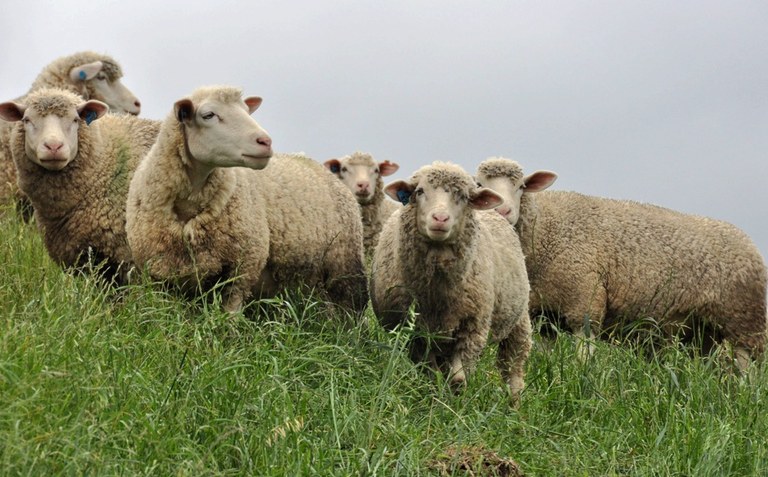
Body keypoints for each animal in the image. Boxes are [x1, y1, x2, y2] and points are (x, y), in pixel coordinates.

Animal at [124, 85, 368, 316]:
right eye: (208, 115)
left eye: (246, 110)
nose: (265, 141)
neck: (189, 205)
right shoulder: (159, 273)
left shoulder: (244, 265)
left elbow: (229, 313)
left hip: (344, 267)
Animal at [372, 162, 536, 396]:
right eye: (419, 191)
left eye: (464, 197)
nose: (440, 219)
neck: (435, 293)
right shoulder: (415, 335)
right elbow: (431, 375)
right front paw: (435, 400)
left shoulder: (473, 329)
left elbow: (458, 379)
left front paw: (455, 400)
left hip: (518, 321)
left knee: (513, 373)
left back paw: (514, 402)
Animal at [476, 156, 764, 368]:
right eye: (479, 184)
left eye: (521, 186)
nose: (501, 210)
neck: (546, 227)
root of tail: (747, 239)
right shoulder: (543, 315)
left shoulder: (585, 301)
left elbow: (584, 357)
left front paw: (582, 381)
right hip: (703, 331)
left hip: (745, 319)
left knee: (747, 366)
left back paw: (745, 395)